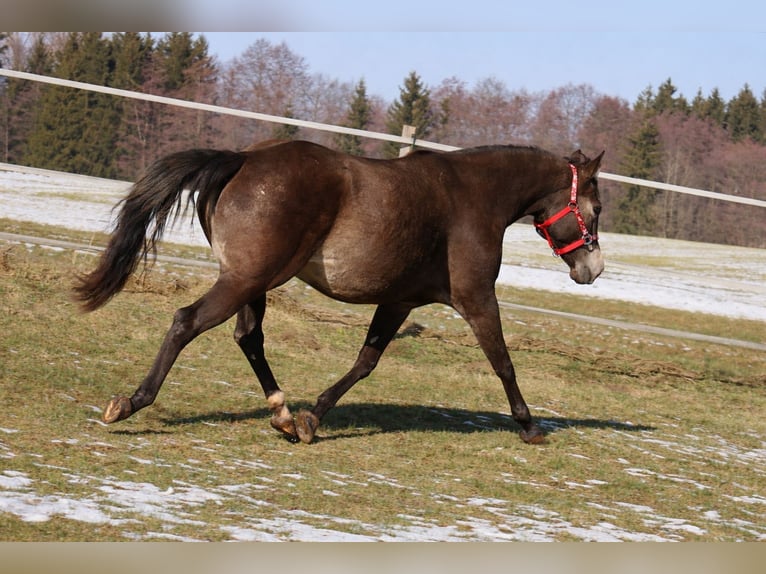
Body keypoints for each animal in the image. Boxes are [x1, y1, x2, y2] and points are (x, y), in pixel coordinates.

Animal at [73, 139, 604, 445]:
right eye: (596, 209)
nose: (593, 269)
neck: (472, 196)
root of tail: (245, 158)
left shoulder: (399, 301)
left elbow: (366, 361)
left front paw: (313, 417)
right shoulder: (476, 299)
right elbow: (503, 362)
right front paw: (530, 425)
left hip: (253, 280)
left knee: (248, 338)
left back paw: (283, 415)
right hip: (246, 279)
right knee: (188, 322)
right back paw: (131, 403)